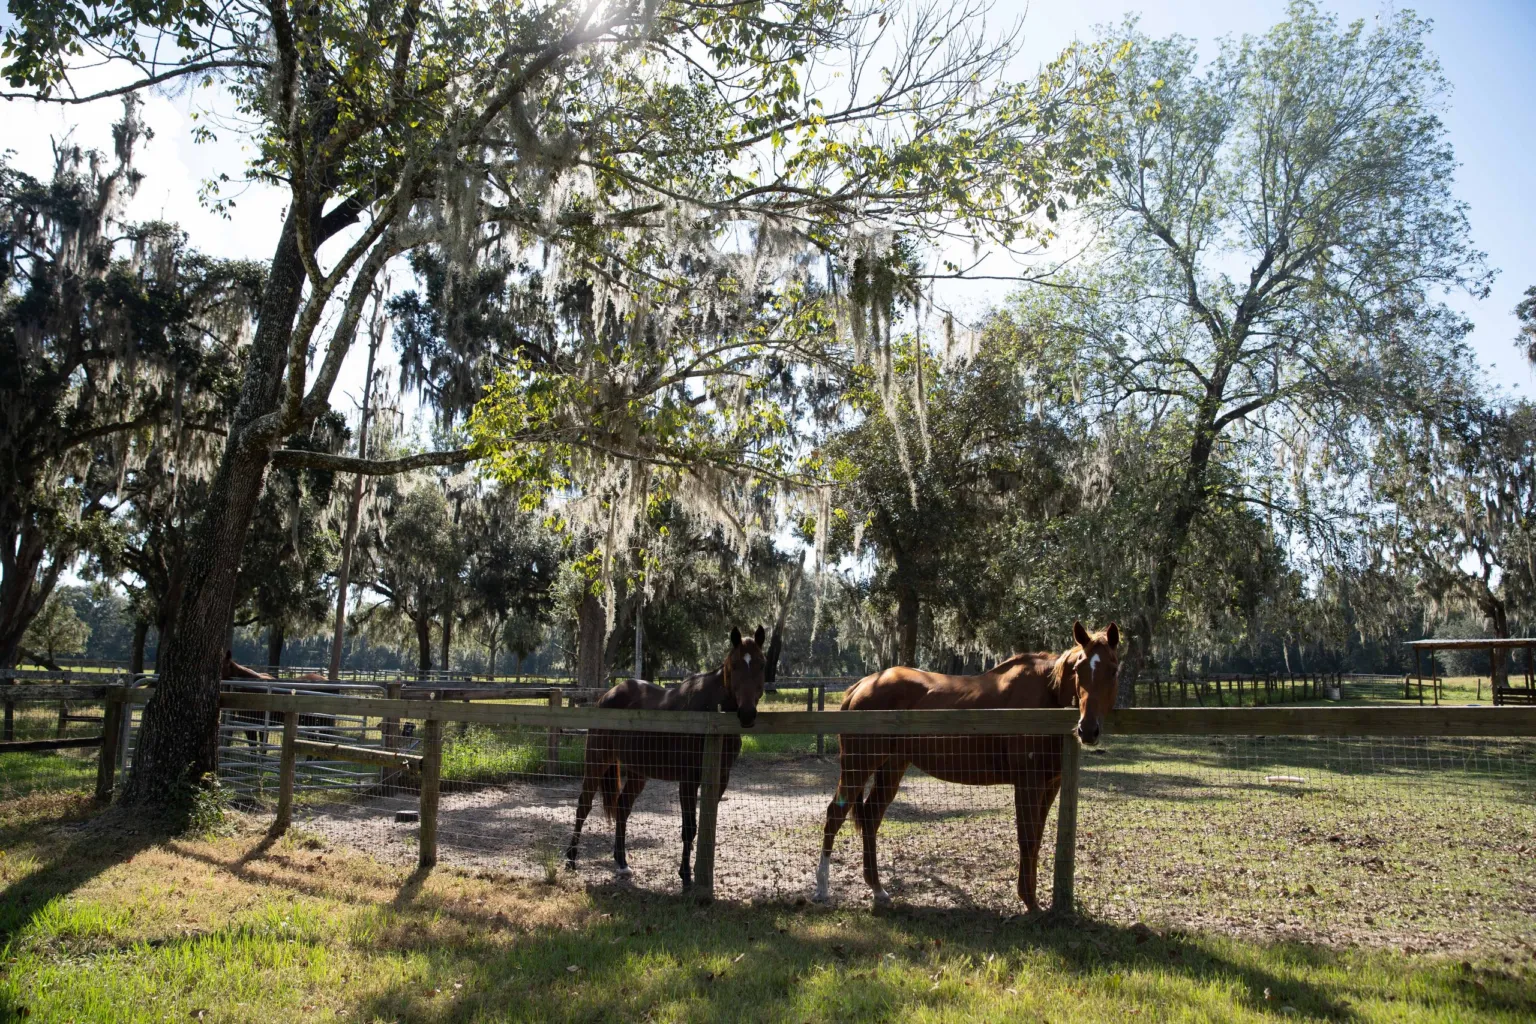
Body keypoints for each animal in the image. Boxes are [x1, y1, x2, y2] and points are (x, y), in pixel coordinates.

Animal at [566, 625, 767, 889]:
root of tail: (606, 696)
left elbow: (706, 824)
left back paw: (621, 862)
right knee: (583, 806)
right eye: (734, 665)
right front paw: (686, 875)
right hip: (597, 762)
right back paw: (570, 859)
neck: (710, 712)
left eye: (761, 665)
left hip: (638, 772)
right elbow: (689, 828)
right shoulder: (688, 781)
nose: (747, 714)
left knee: (622, 808)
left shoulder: (720, 780)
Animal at [813, 621, 1121, 912]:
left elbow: (1037, 838)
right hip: (858, 765)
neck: (1046, 699)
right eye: (1079, 668)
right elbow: (1027, 839)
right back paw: (822, 889)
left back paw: (877, 889)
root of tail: (862, 685)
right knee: (835, 815)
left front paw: (1031, 899)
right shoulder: (1027, 784)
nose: (1087, 729)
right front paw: (1029, 901)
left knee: (870, 818)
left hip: (891, 768)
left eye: (1113, 669)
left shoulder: (1050, 785)